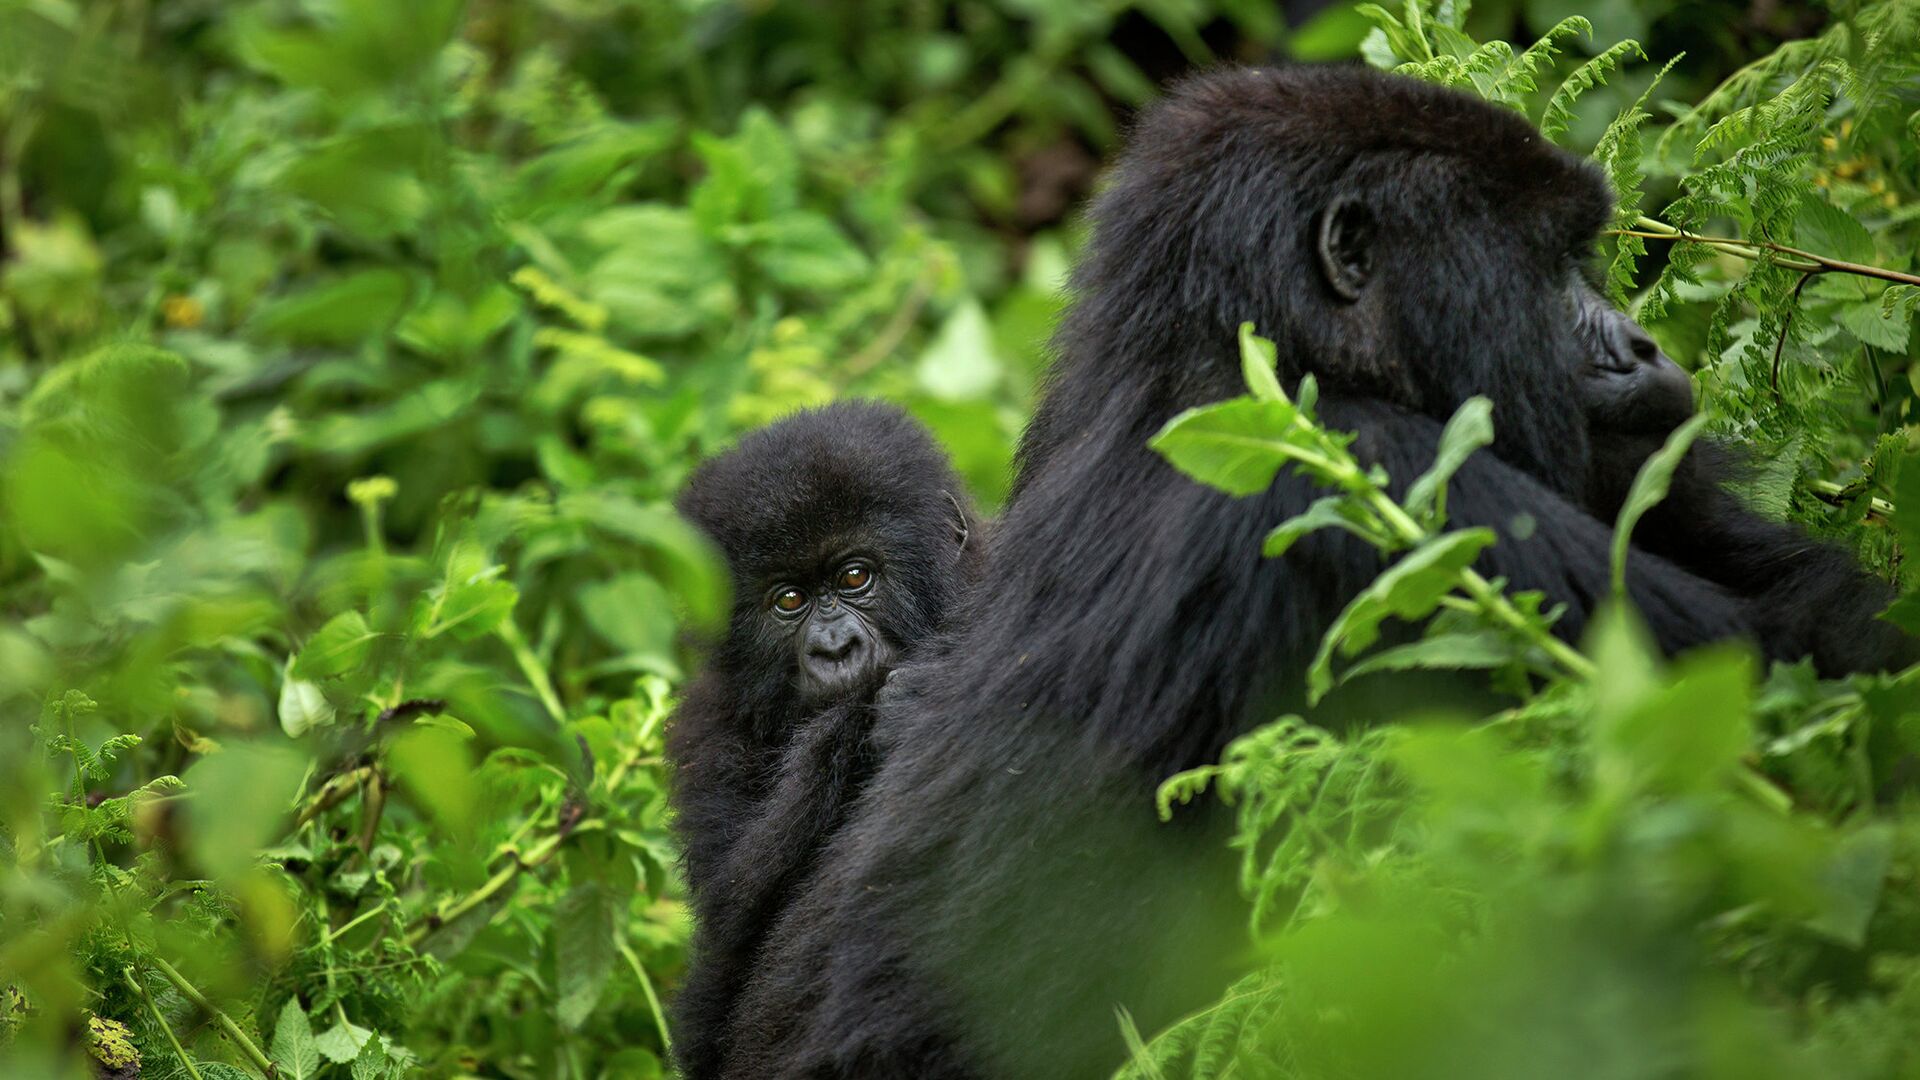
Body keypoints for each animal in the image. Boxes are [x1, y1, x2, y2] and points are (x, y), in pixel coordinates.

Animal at [672, 403, 975, 1076]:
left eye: (855, 576)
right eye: (790, 598)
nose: (836, 649)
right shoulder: (707, 732)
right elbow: (732, 907)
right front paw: (869, 716)